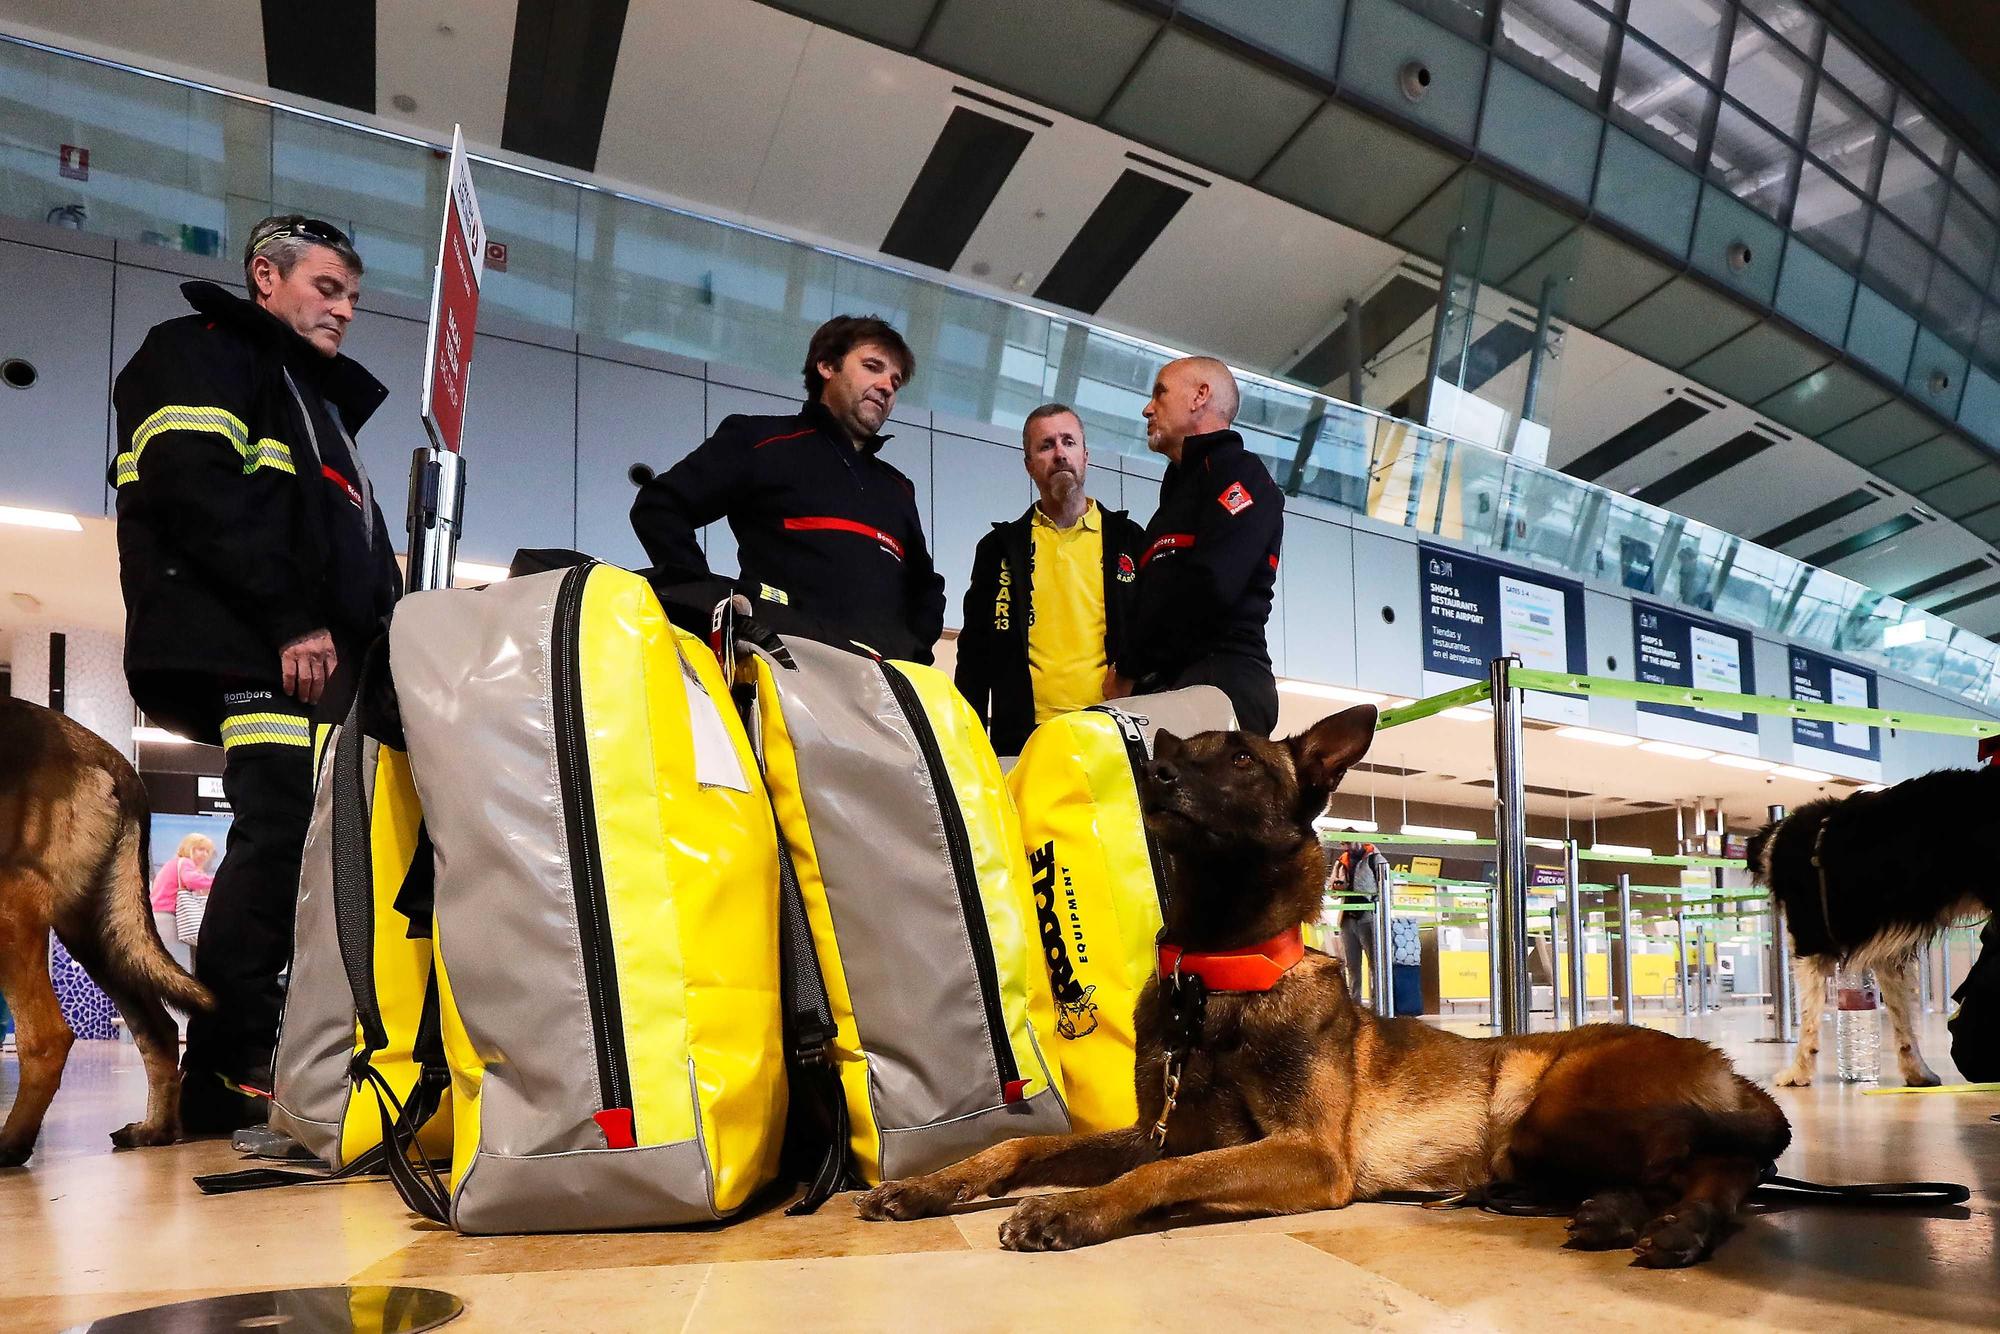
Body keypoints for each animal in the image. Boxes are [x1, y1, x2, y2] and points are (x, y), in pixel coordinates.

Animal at [0, 700, 211, 1168]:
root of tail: (112, 760)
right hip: (98, 932)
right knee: (159, 1029)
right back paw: (154, 1130)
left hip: (13, 909)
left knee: (46, 1038)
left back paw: (9, 1145)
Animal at [852, 704, 1792, 1272]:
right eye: (1180, 755)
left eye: (1239, 759)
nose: (1155, 777)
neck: (1216, 975)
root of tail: (1730, 1070)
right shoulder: (1157, 1128)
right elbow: (1018, 1148)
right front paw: (926, 1187)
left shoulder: (1307, 1155)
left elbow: (1164, 1175)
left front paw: (1071, 1211)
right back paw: (1610, 1213)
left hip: (1556, 1108)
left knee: (1724, 1170)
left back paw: (1675, 1224)